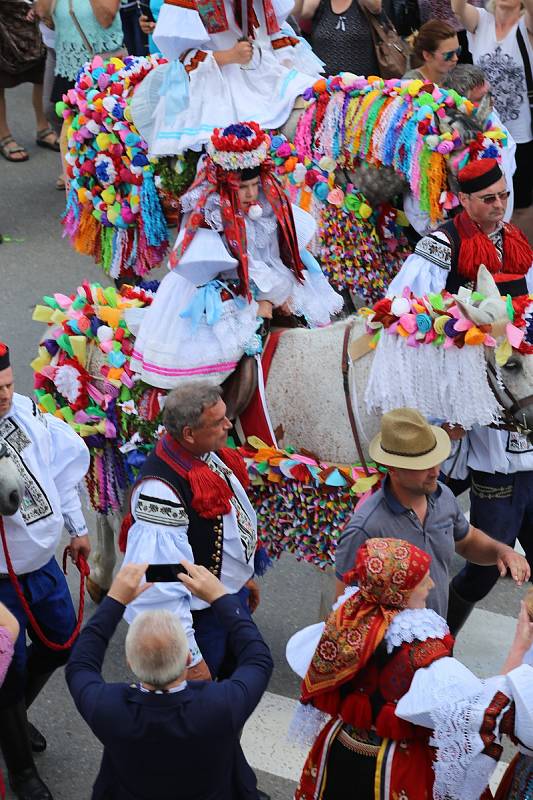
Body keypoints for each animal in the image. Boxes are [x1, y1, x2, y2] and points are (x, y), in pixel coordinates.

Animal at [30, 268, 533, 600]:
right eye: (510, 363)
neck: (367, 387)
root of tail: (92, 313)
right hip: (108, 441)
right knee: (108, 511)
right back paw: (104, 578)